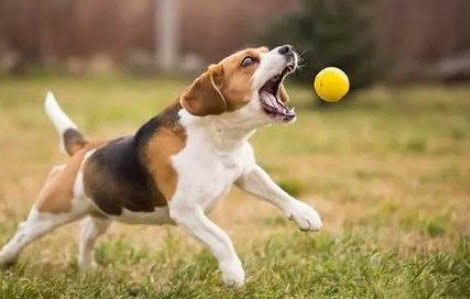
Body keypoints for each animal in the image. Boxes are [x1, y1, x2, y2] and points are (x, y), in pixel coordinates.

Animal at [0, 45, 322, 288]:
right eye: (248, 61)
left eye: (266, 51)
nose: (287, 48)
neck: (219, 139)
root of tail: (85, 149)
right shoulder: (187, 211)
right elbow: (222, 238)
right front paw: (234, 275)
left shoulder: (246, 172)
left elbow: (278, 193)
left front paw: (305, 215)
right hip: (53, 209)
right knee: (24, 231)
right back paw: (8, 259)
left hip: (103, 212)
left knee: (86, 234)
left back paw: (87, 268)